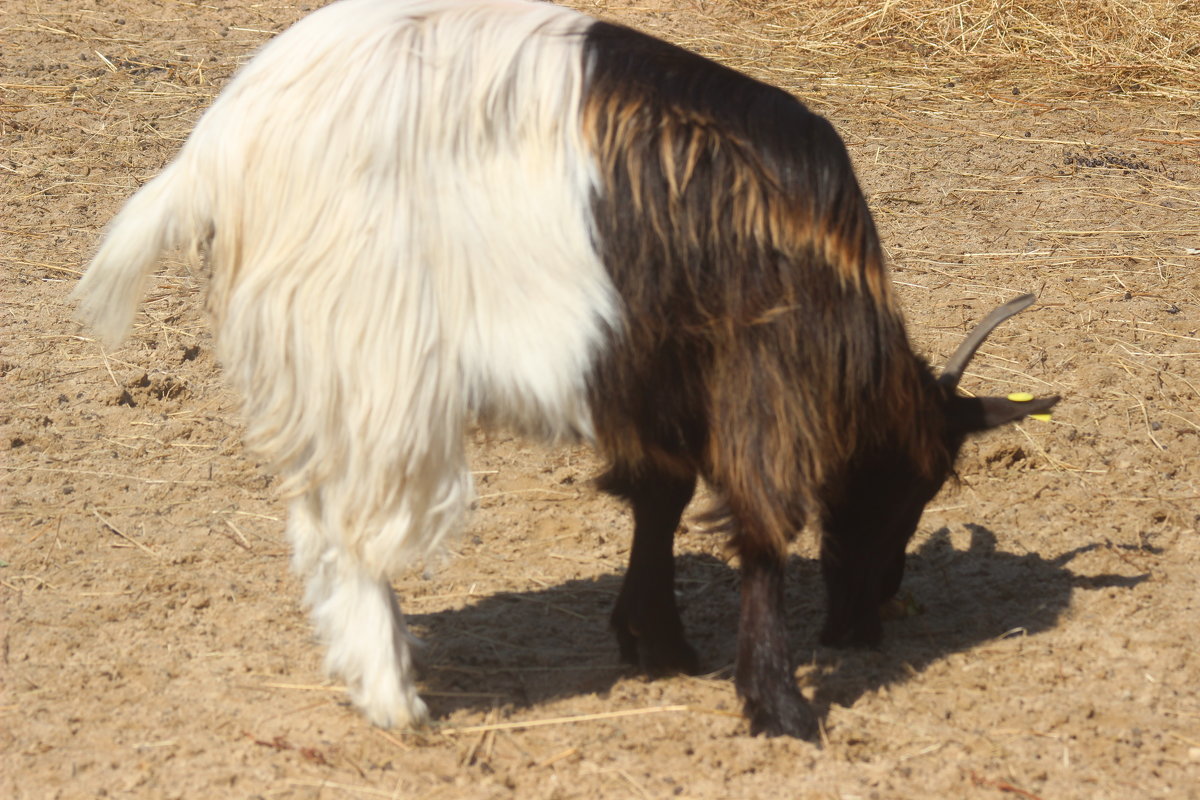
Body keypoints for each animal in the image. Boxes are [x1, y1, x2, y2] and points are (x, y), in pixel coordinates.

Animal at [72, 0, 1060, 743]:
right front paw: (778, 703)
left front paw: (657, 641)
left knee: (318, 514)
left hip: (334, 360)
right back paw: (396, 700)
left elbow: (658, 496)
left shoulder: (651, 366)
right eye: (917, 483)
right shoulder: (758, 369)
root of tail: (217, 148)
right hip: (373, 350)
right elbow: (761, 526)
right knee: (352, 526)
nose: (867, 622)